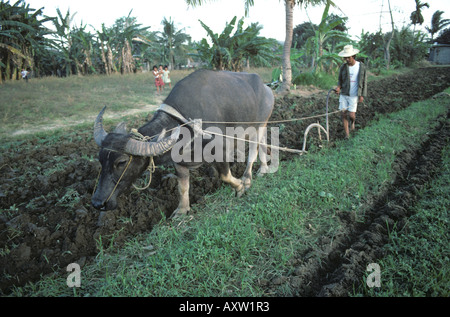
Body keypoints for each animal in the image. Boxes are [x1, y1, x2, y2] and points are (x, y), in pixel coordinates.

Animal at [91, 69, 274, 217]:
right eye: (100, 159)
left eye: (121, 162)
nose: (98, 203)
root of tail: (266, 88)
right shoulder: (179, 161)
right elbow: (182, 187)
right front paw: (182, 210)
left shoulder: (220, 150)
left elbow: (225, 176)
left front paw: (240, 187)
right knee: (263, 143)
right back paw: (264, 168)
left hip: (259, 125)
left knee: (253, 151)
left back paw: (248, 178)